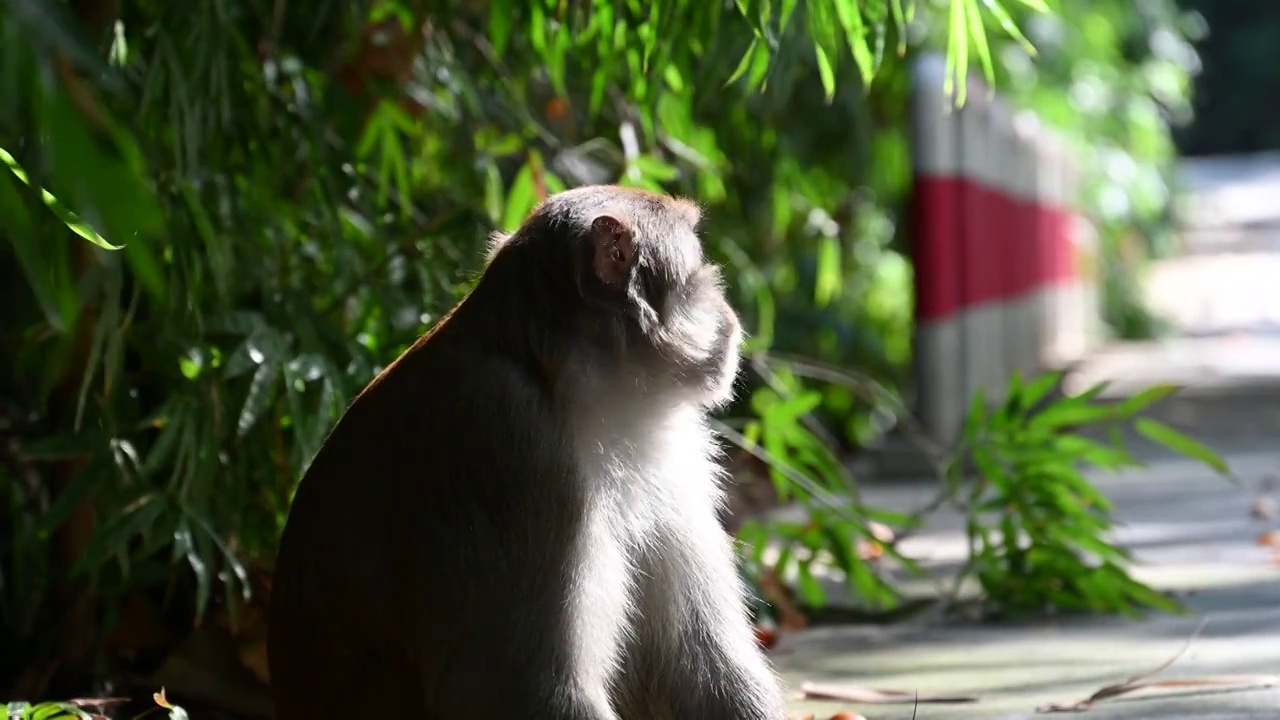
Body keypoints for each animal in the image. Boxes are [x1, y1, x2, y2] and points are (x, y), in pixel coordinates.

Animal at [268, 184, 783, 717]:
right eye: (701, 274)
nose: (730, 316)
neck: (569, 386)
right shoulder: (516, 444)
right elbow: (518, 685)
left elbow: (701, 663)